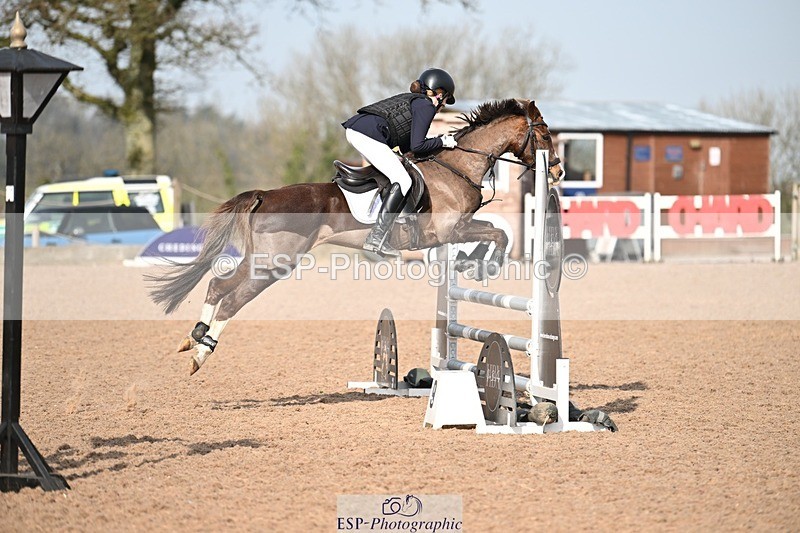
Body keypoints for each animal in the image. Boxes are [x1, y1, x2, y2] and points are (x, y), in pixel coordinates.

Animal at [148, 98, 564, 375]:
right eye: (544, 133)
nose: (558, 172)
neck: (456, 167)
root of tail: (265, 194)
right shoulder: (449, 230)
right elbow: (498, 233)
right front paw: (484, 266)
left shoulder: (451, 233)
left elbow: (491, 234)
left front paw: (470, 264)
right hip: (274, 266)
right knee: (232, 299)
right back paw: (201, 353)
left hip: (259, 261)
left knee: (218, 285)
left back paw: (193, 339)